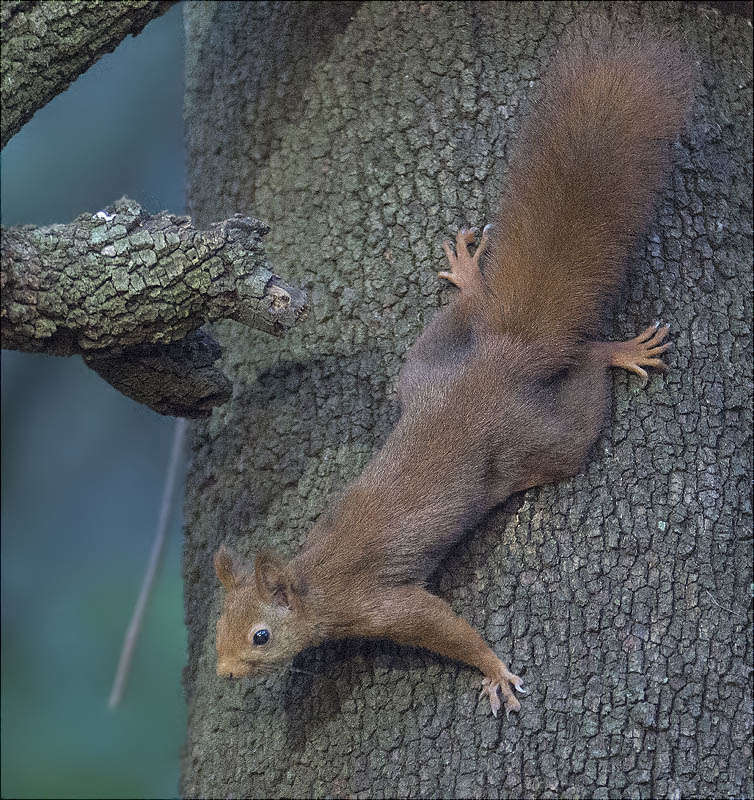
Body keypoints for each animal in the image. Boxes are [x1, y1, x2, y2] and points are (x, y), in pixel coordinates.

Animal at [214, 32, 692, 720]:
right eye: (218, 627)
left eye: (260, 635)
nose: (223, 671)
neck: (315, 582)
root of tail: (503, 355)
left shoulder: (383, 603)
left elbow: (443, 626)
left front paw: (493, 669)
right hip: (423, 370)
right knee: (468, 315)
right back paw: (471, 277)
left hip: (540, 442)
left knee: (581, 386)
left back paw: (615, 351)